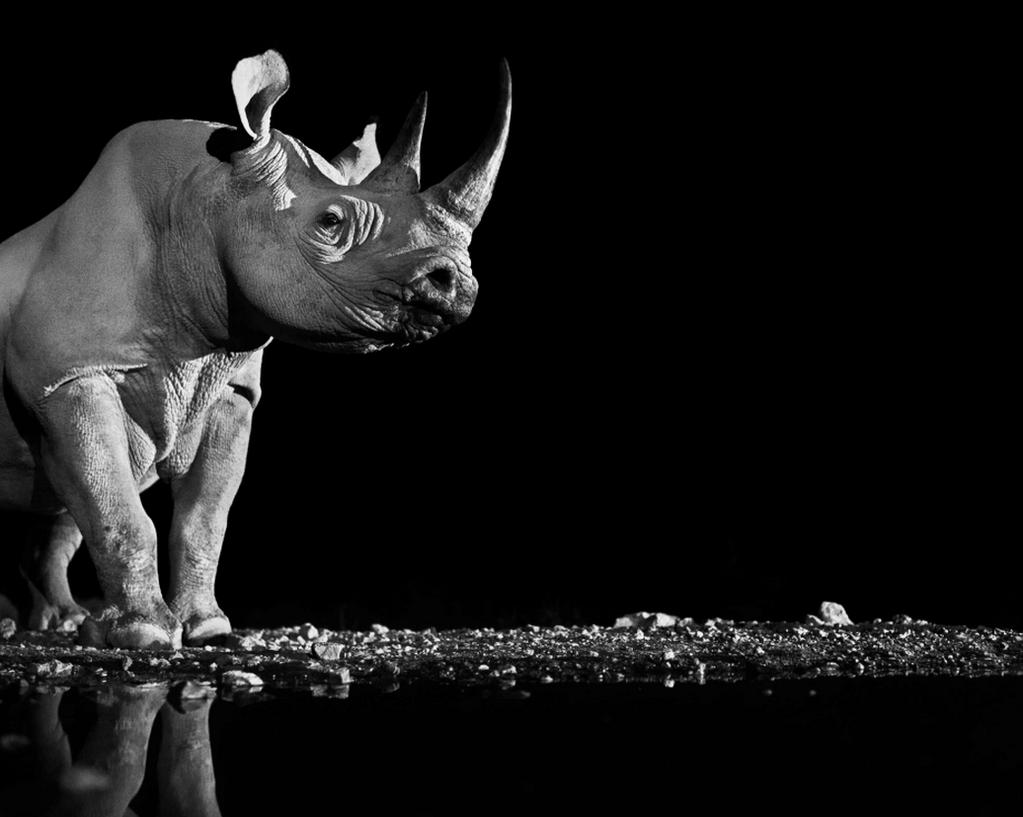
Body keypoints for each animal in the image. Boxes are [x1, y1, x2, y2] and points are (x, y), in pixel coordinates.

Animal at [0, 50, 510, 648]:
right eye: (331, 222)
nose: (455, 286)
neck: (201, 205)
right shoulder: (72, 374)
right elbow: (117, 509)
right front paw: (146, 637)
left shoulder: (232, 386)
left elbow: (203, 518)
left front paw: (207, 629)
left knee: (54, 503)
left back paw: (64, 621)